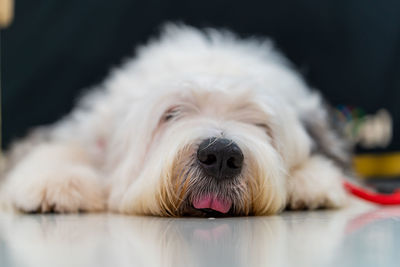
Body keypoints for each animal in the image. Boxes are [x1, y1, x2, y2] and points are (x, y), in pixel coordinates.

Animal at [0, 24, 350, 218]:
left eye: (262, 124)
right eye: (171, 113)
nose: (221, 155)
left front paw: (311, 182)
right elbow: (64, 150)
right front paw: (55, 184)